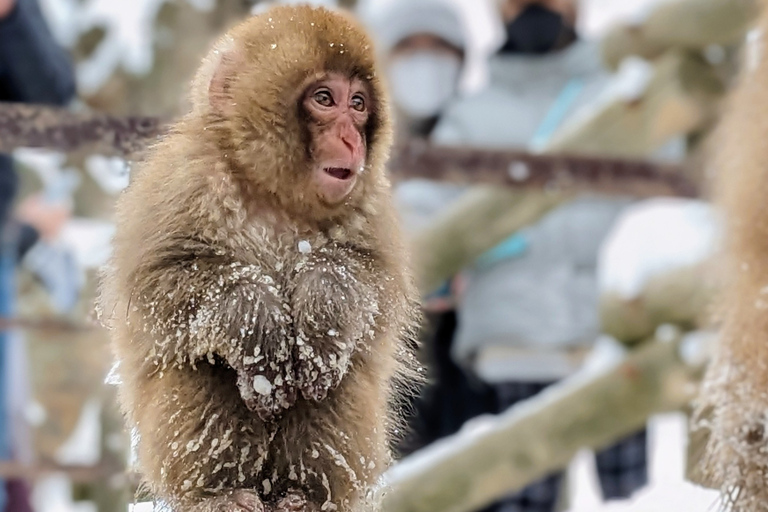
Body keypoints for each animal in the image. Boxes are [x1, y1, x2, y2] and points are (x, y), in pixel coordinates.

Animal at [97, 7, 420, 512]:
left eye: (359, 104)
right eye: (325, 99)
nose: (353, 140)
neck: (273, 196)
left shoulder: (371, 205)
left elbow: (373, 281)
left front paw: (323, 299)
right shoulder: (182, 178)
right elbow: (158, 279)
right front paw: (254, 315)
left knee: (336, 382)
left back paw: (304, 495)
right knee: (202, 367)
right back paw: (220, 494)